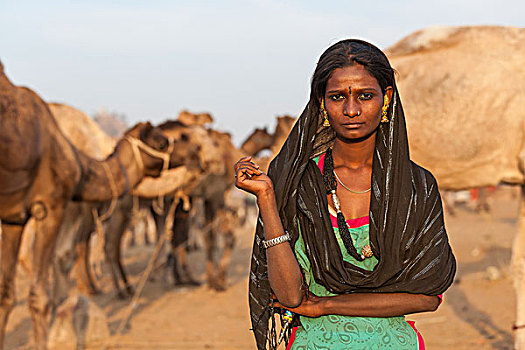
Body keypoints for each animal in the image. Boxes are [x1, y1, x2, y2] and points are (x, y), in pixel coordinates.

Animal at [0, 63, 182, 350]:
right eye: (161, 142)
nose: (189, 153)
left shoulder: (13, 217)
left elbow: (5, 297)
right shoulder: (49, 206)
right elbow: (39, 298)